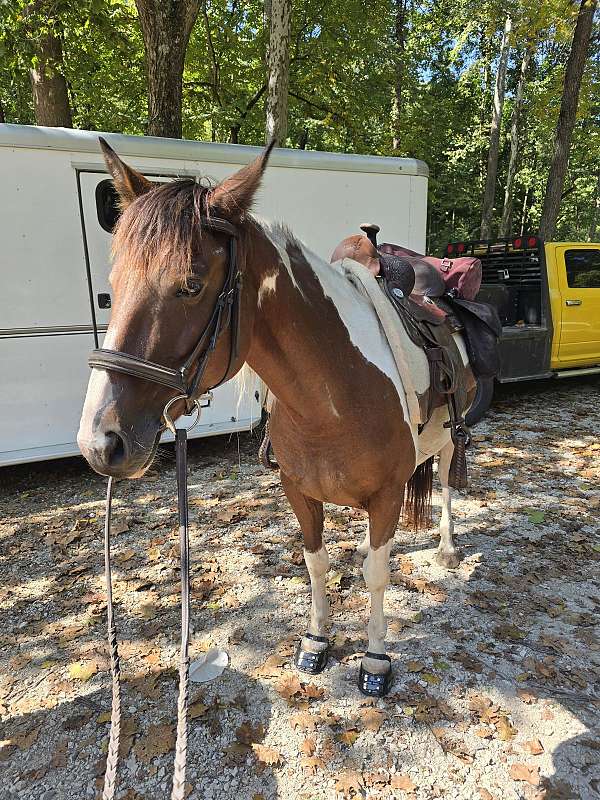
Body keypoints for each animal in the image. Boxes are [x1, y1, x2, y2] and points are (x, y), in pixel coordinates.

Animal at [78, 139, 476, 697]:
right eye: (113, 283)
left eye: (191, 285)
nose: (100, 441)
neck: (332, 399)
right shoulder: (298, 491)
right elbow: (316, 562)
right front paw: (316, 640)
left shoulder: (386, 494)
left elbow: (378, 574)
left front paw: (375, 660)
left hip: (449, 438)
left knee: (442, 480)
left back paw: (447, 547)